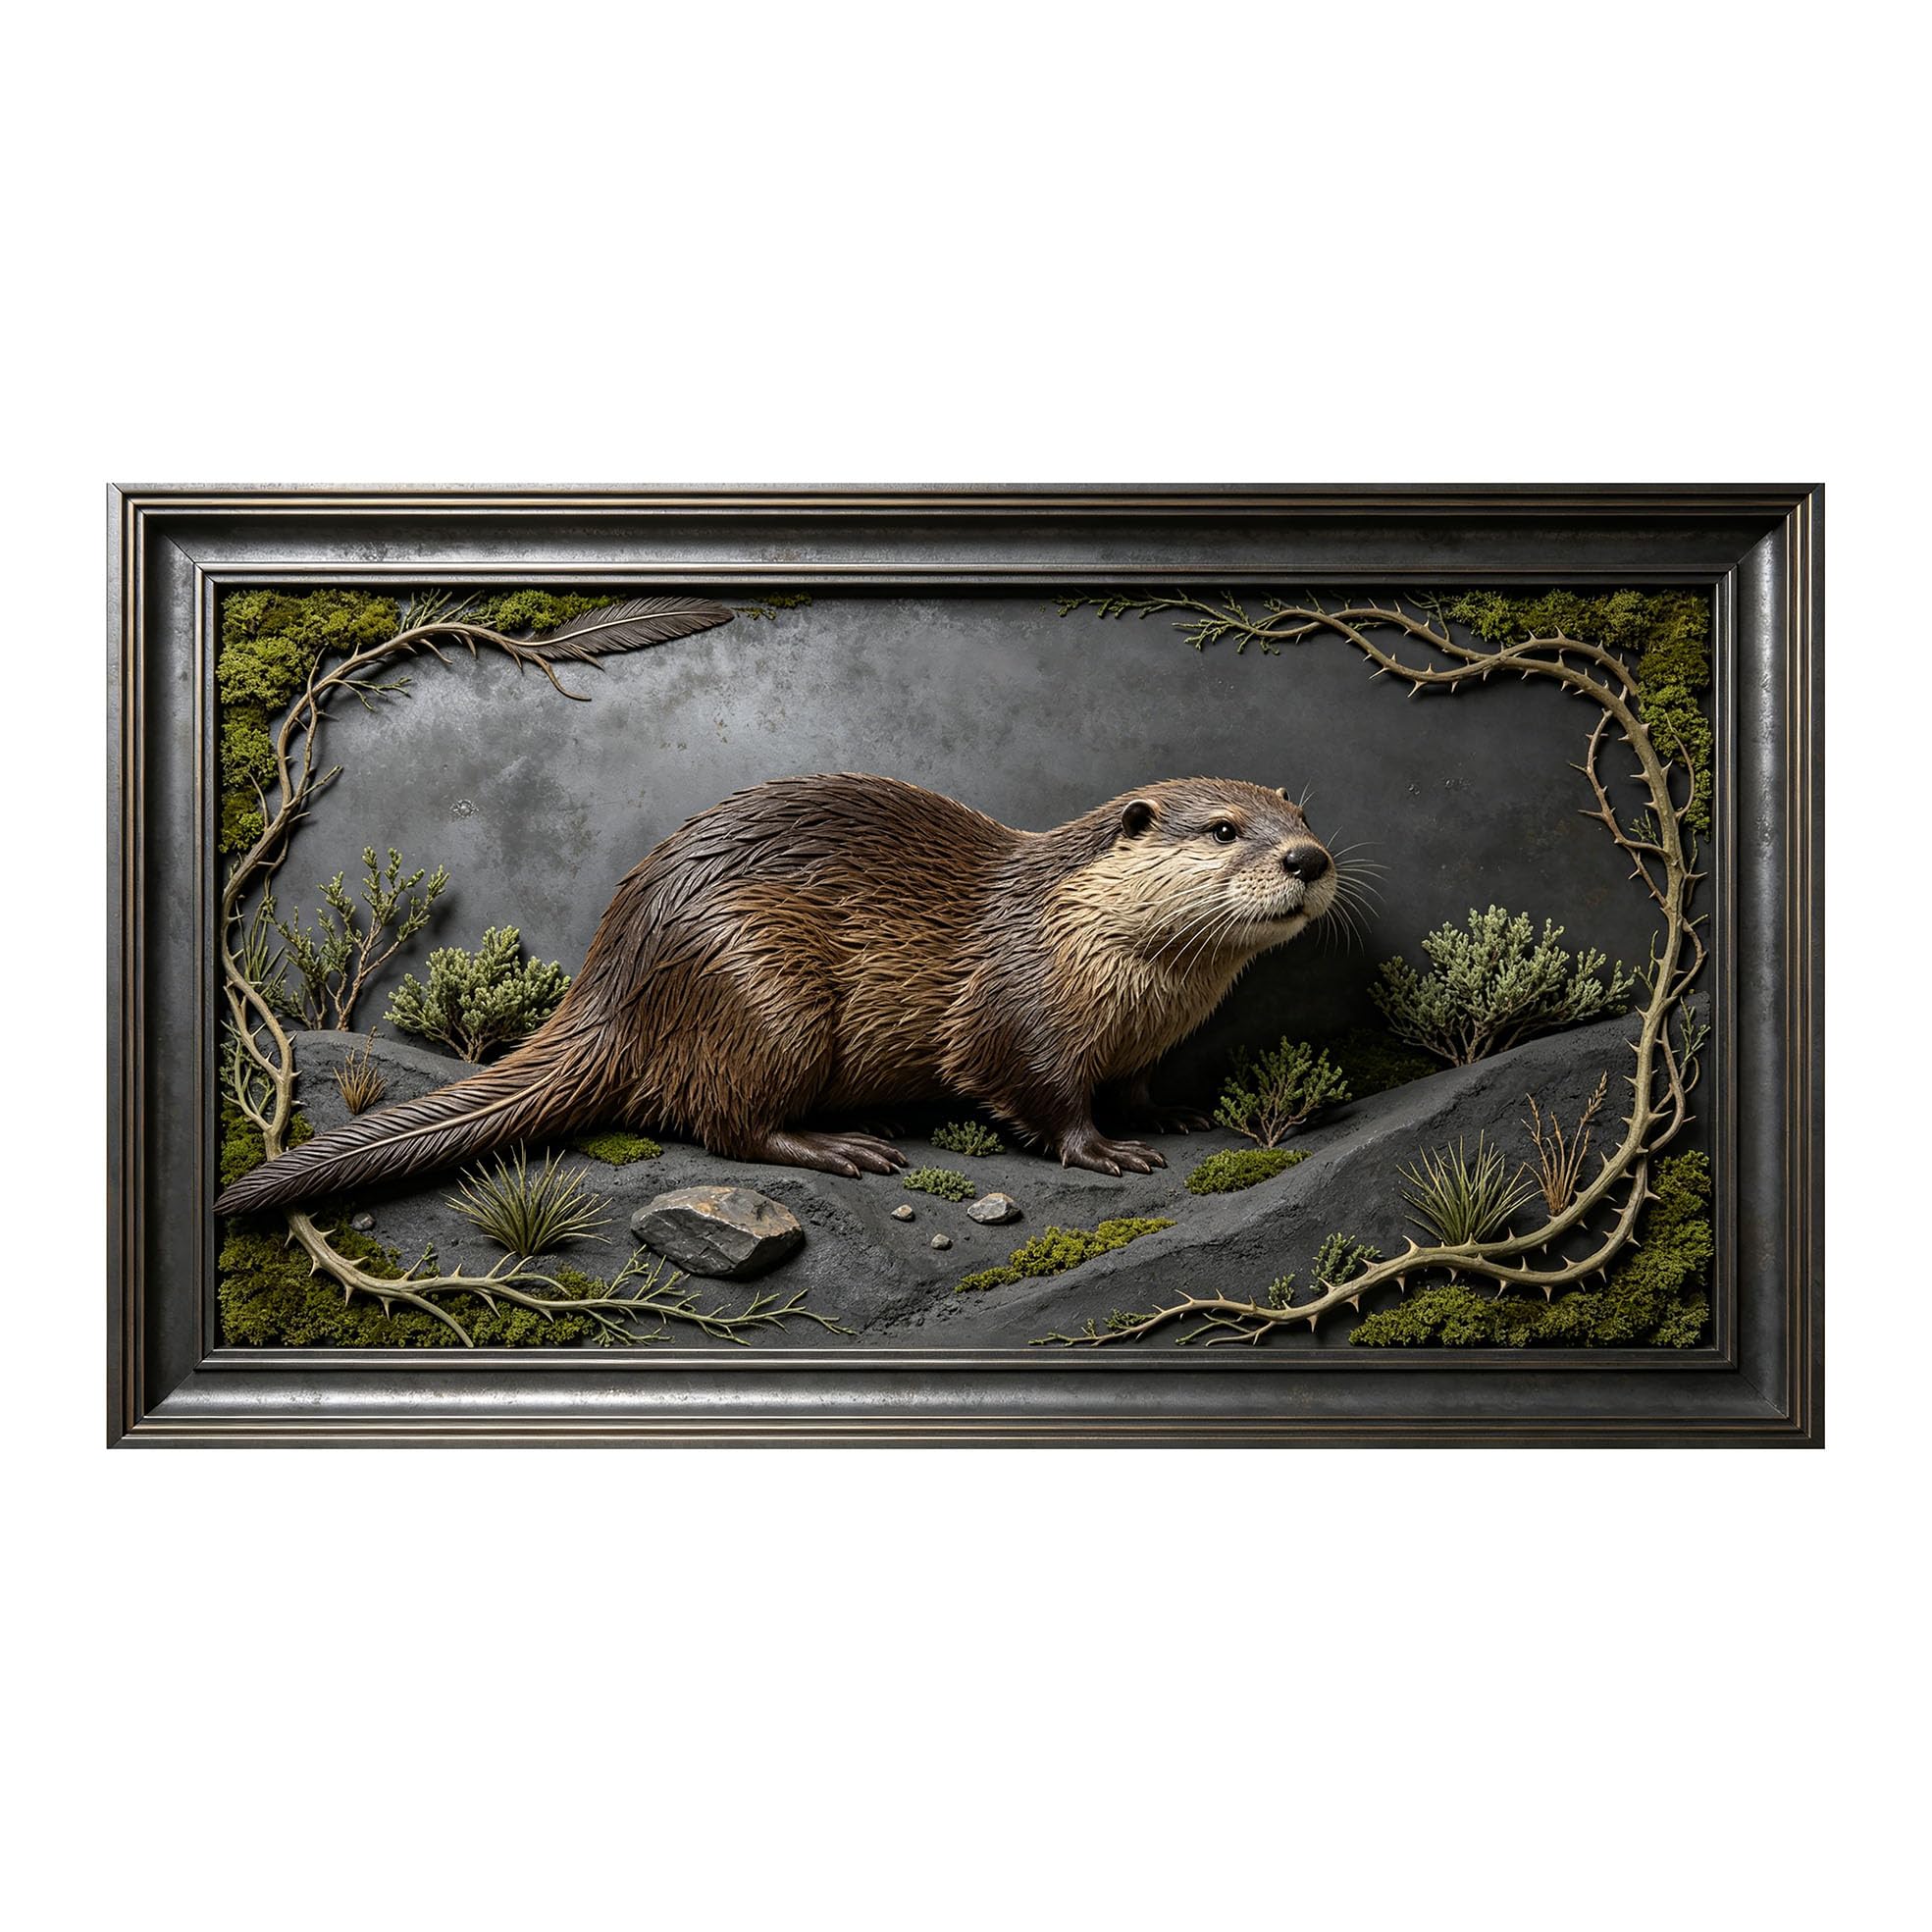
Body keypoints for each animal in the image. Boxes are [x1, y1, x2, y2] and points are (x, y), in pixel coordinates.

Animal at [214, 773, 1336, 1215]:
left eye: (1299, 816)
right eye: (1226, 829)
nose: (1310, 858)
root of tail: (612, 981)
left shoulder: (1139, 1039)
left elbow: (1136, 1081)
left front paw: (1174, 1110)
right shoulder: (1016, 1001)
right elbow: (1032, 1090)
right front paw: (1105, 1151)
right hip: (759, 980)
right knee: (725, 1123)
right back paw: (841, 1146)